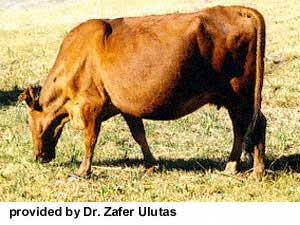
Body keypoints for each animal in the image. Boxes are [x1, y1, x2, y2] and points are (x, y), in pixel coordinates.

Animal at [18, 5, 266, 179]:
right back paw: (232, 167)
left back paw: (256, 171)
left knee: (254, 125)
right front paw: (150, 164)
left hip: (240, 93)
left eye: (30, 123)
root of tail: (233, 9)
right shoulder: (126, 106)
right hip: (235, 97)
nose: (38, 157)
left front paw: (82, 172)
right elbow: (139, 135)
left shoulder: (91, 106)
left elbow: (90, 140)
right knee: (243, 127)